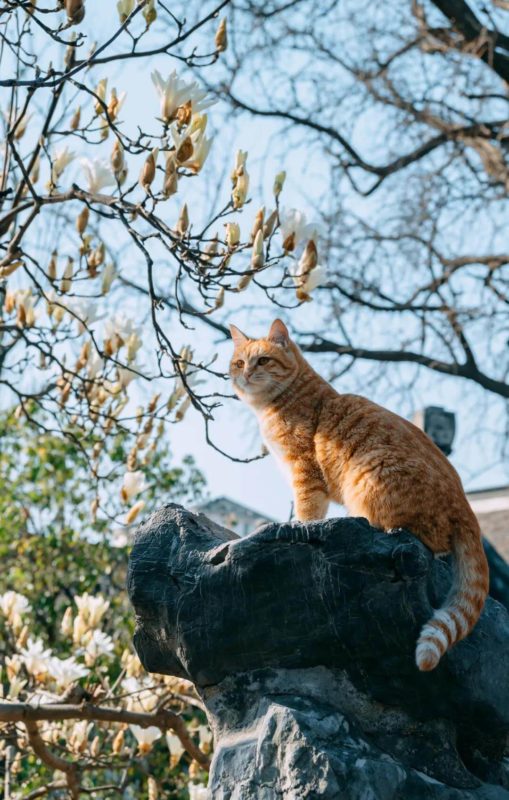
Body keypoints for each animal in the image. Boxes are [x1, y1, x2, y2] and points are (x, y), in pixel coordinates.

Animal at [229, 316, 488, 672]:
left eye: (263, 360)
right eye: (239, 363)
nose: (245, 375)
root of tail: (465, 506)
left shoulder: (305, 472)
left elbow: (308, 510)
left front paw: (300, 525)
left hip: (372, 473)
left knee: (432, 544)